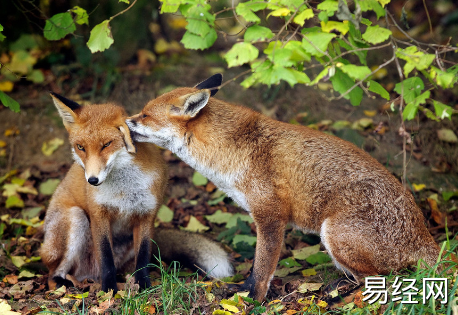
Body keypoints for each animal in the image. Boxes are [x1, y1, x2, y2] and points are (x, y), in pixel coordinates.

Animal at [39, 94, 233, 294]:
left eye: (106, 145)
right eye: (80, 147)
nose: (92, 180)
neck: (125, 190)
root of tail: (87, 275)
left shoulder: (146, 214)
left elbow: (143, 256)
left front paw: (143, 286)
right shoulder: (99, 214)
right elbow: (106, 258)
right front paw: (108, 290)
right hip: (75, 218)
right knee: (53, 274)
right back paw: (63, 284)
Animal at [127, 73, 442, 302]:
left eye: (145, 115)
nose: (126, 121)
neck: (235, 150)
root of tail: (425, 237)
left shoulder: (270, 216)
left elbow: (262, 267)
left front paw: (252, 299)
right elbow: (257, 267)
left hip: (333, 232)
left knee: (380, 280)